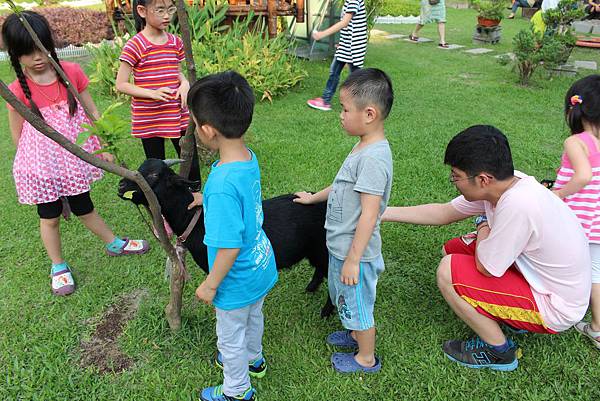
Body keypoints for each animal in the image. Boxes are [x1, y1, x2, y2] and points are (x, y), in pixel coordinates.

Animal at [117, 158, 332, 318]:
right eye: (139, 169)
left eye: (154, 174)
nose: (120, 186)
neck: (195, 220)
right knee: (320, 269)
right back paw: (311, 288)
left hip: (323, 248)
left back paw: (326, 311)